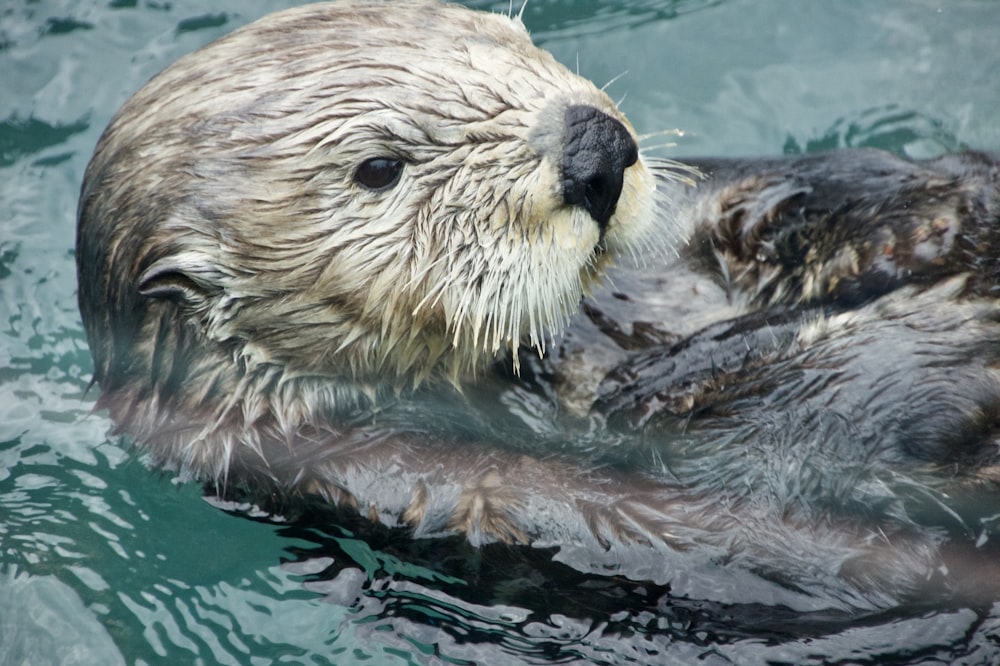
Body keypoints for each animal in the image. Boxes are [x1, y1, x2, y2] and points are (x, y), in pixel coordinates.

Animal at [76, 0, 1000, 608]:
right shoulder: (431, 478)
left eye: (514, 41)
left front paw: (928, 212)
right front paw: (933, 329)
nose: (595, 148)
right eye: (378, 168)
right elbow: (778, 494)